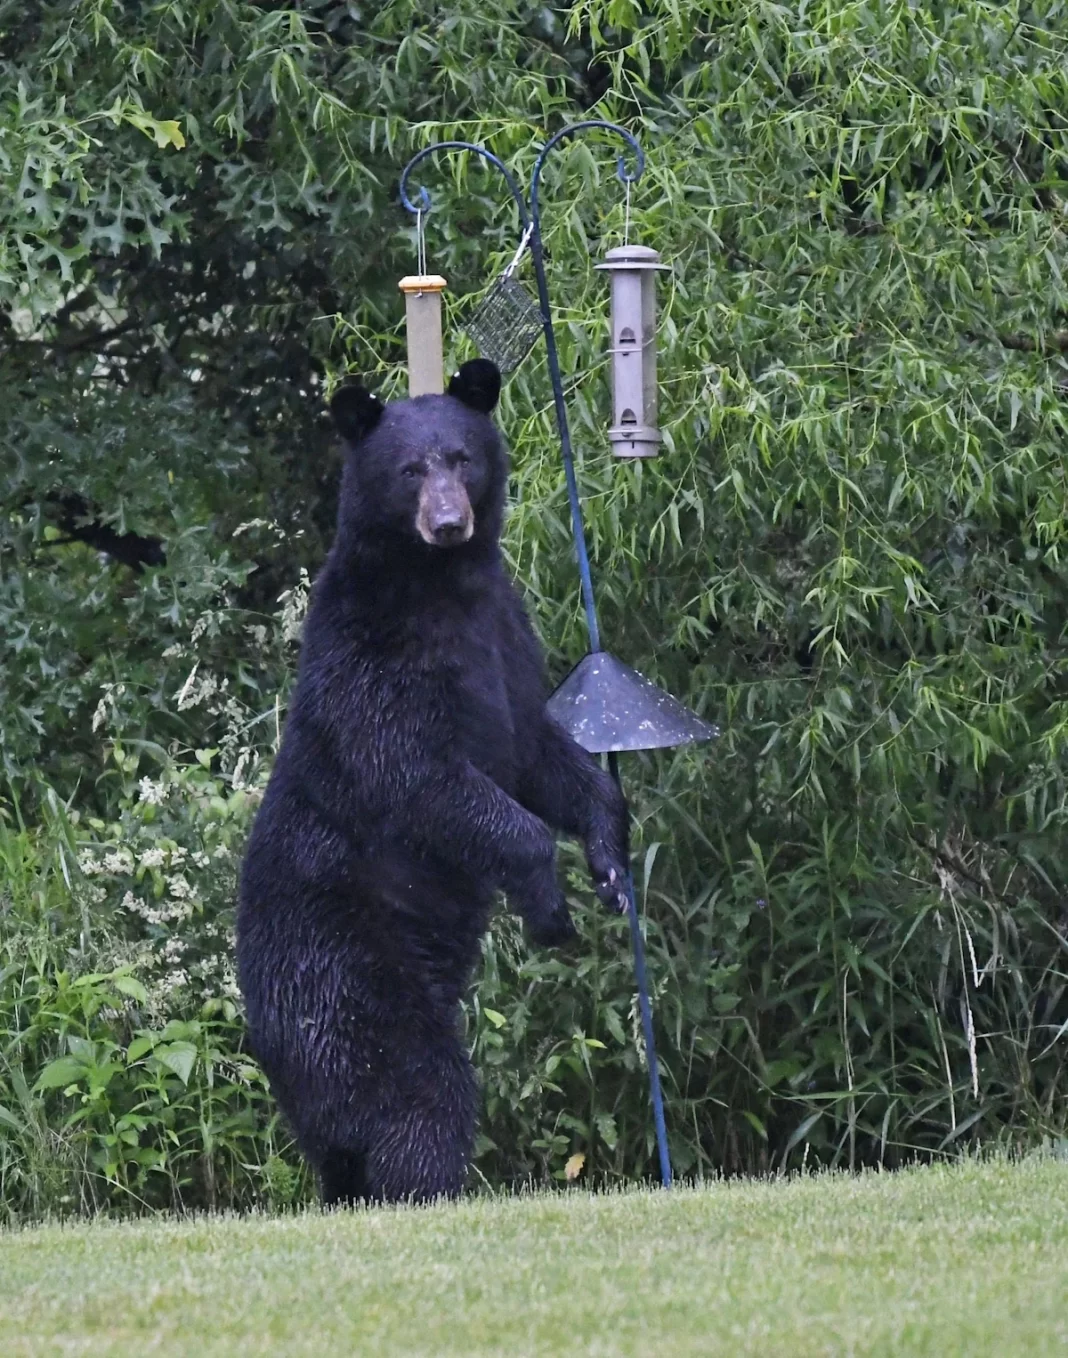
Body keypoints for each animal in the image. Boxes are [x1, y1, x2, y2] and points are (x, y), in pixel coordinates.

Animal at [236, 358, 630, 1207]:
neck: (443, 586)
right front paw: (549, 908)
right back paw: (428, 1188)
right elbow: (424, 776)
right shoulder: (375, 658)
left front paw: (611, 864)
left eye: (461, 457)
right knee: (416, 1093)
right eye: (409, 470)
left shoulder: (508, 637)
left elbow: (540, 749)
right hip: (348, 976)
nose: (449, 522)